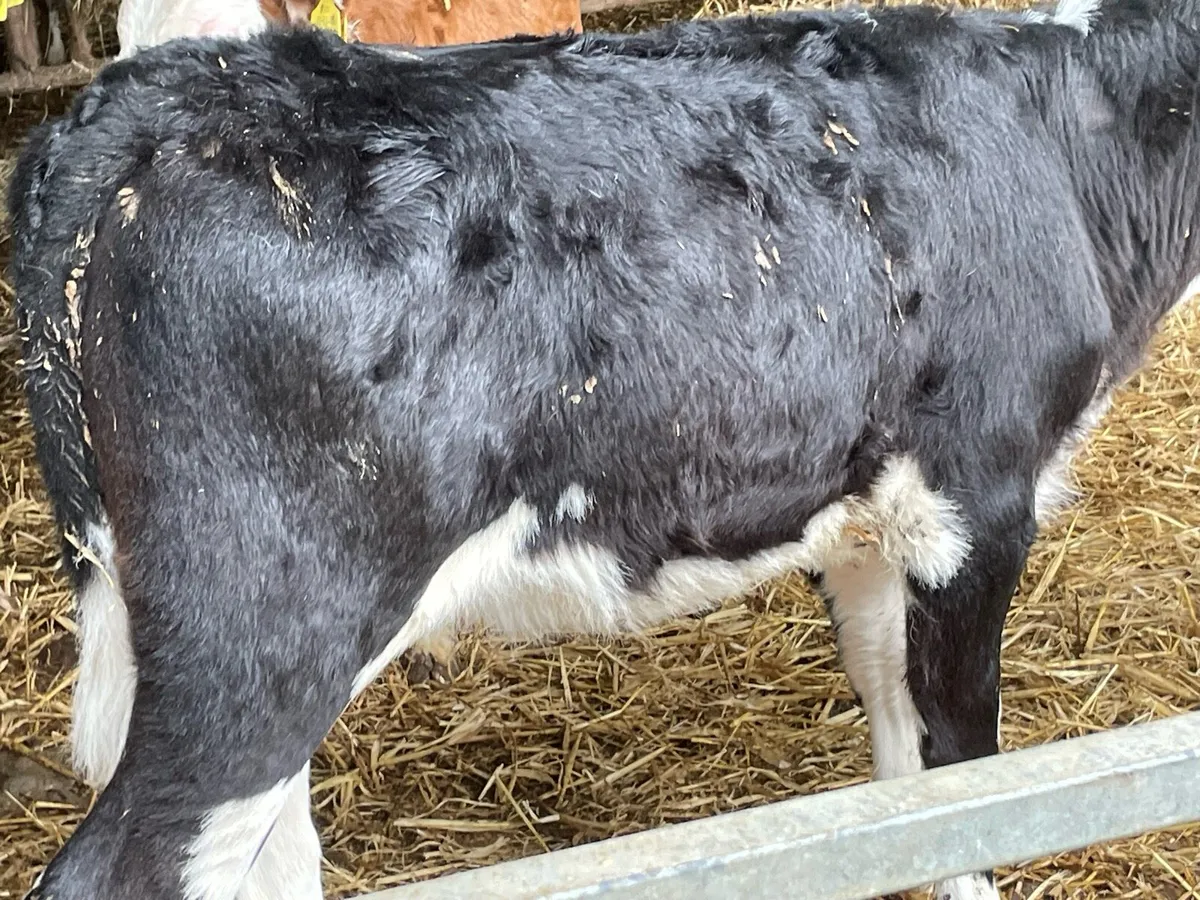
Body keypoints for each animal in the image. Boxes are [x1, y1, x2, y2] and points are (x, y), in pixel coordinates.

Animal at [7, 0, 1199, 897]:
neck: (1070, 131)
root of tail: (155, 97)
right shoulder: (980, 500)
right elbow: (965, 768)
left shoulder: (867, 515)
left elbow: (895, 740)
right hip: (261, 633)